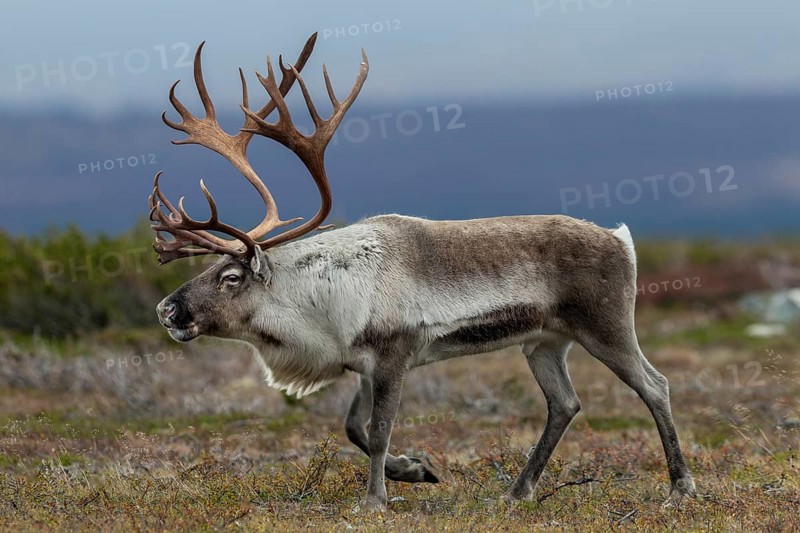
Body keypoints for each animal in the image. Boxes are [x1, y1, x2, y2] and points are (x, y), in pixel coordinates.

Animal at [150, 33, 696, 511]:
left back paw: (680, 487)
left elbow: (377, 432)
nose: (167, 309)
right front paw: (415, 470)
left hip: (605, 325)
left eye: (231, 278)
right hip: (544, 341)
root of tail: (621, 240)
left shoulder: (395, 356)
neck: (319, 302)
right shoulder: (363, 365)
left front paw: (374, 501)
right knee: (565, 403)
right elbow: (354, 428)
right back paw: (517, 492)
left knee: (654, 385)